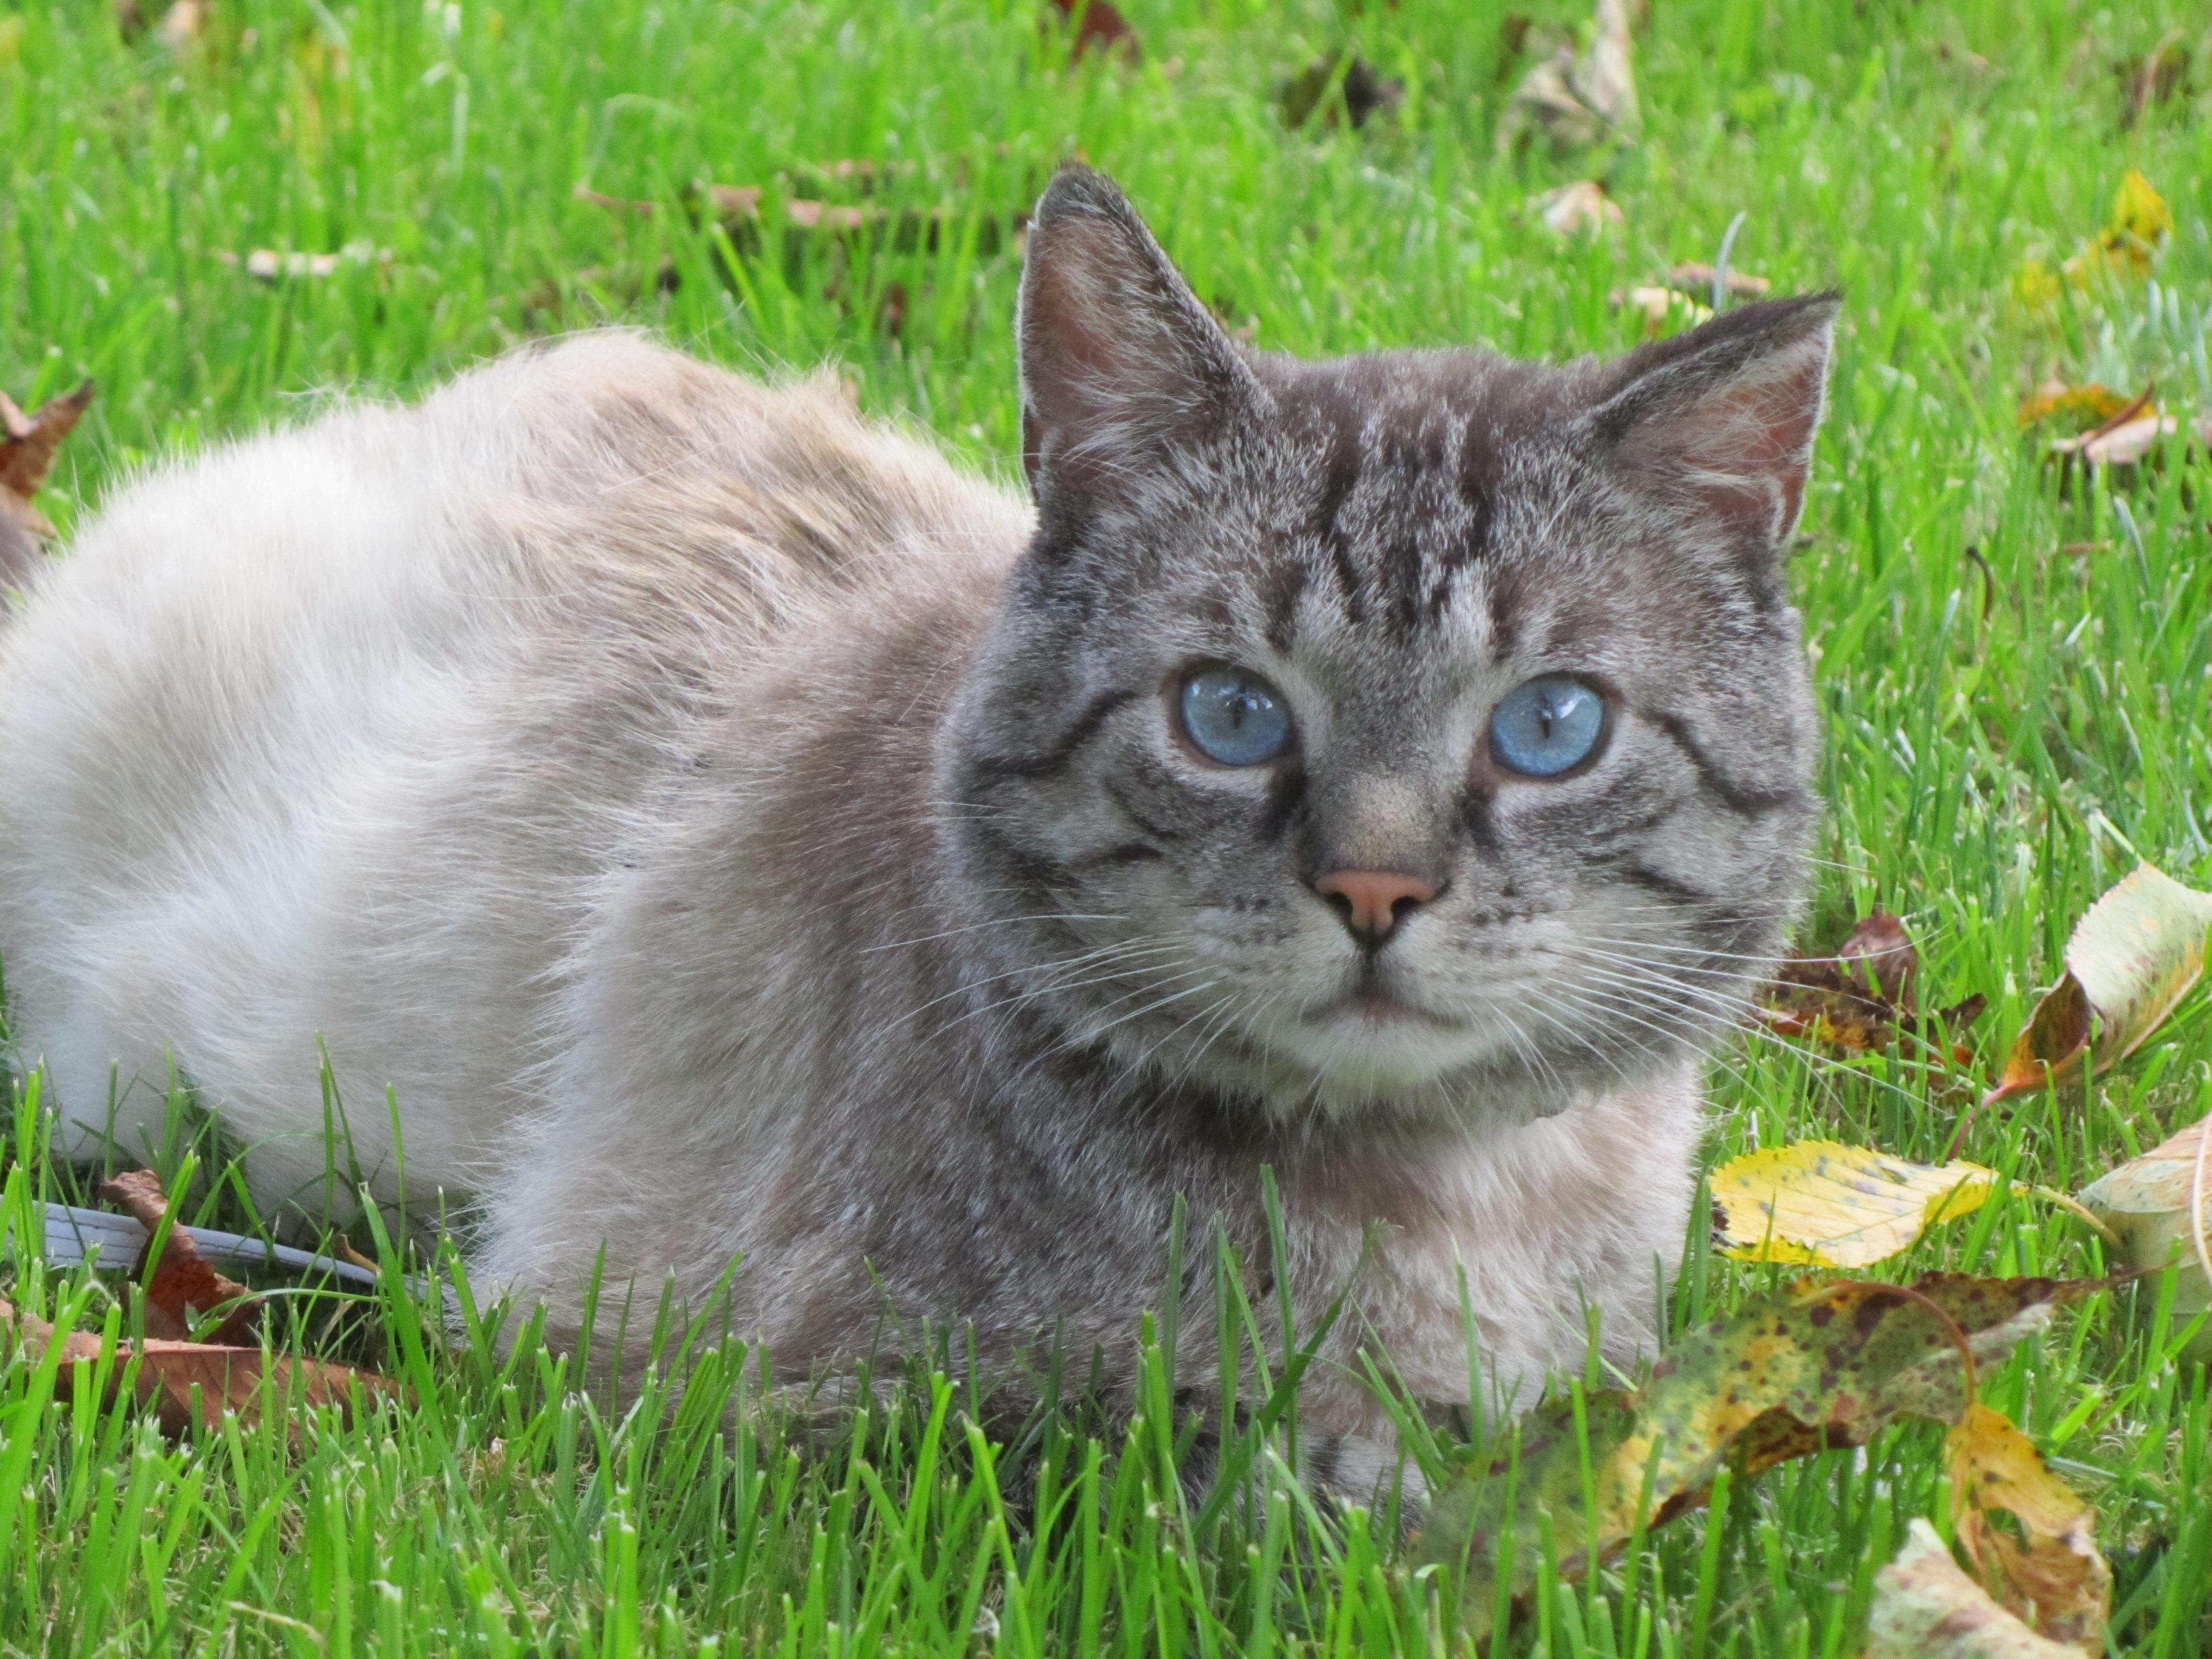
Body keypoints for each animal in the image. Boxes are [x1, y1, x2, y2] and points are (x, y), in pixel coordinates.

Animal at [0, 169, 1831, 1486]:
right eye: (1229, 716)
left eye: (1551, 729)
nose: (1375, 890)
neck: (1458, 1206)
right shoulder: (682, 1363)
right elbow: (1246, 1461)